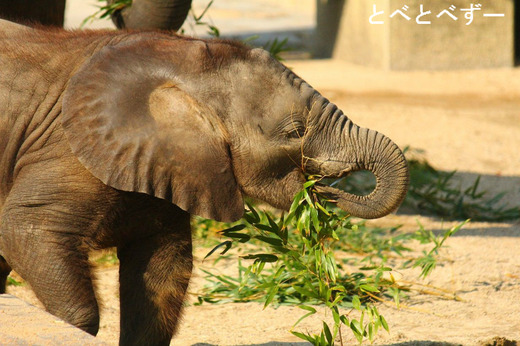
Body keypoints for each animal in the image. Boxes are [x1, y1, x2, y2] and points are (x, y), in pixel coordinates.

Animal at [0, 20, 406, 344]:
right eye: (295, 131)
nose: (321, 194)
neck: (179, 60)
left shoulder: (165, 163)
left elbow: (163, 272)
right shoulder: (66, 149)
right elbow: (27, 230)